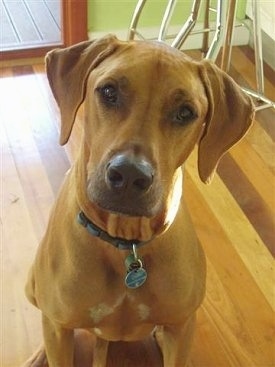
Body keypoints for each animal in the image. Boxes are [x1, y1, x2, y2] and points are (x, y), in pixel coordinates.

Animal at [23, 35, 254, 367]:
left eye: (185, 112)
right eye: (109, 92)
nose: (130, 176)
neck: (125, 242)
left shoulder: (182, 328)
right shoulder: (57, 326)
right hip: (34, 289)